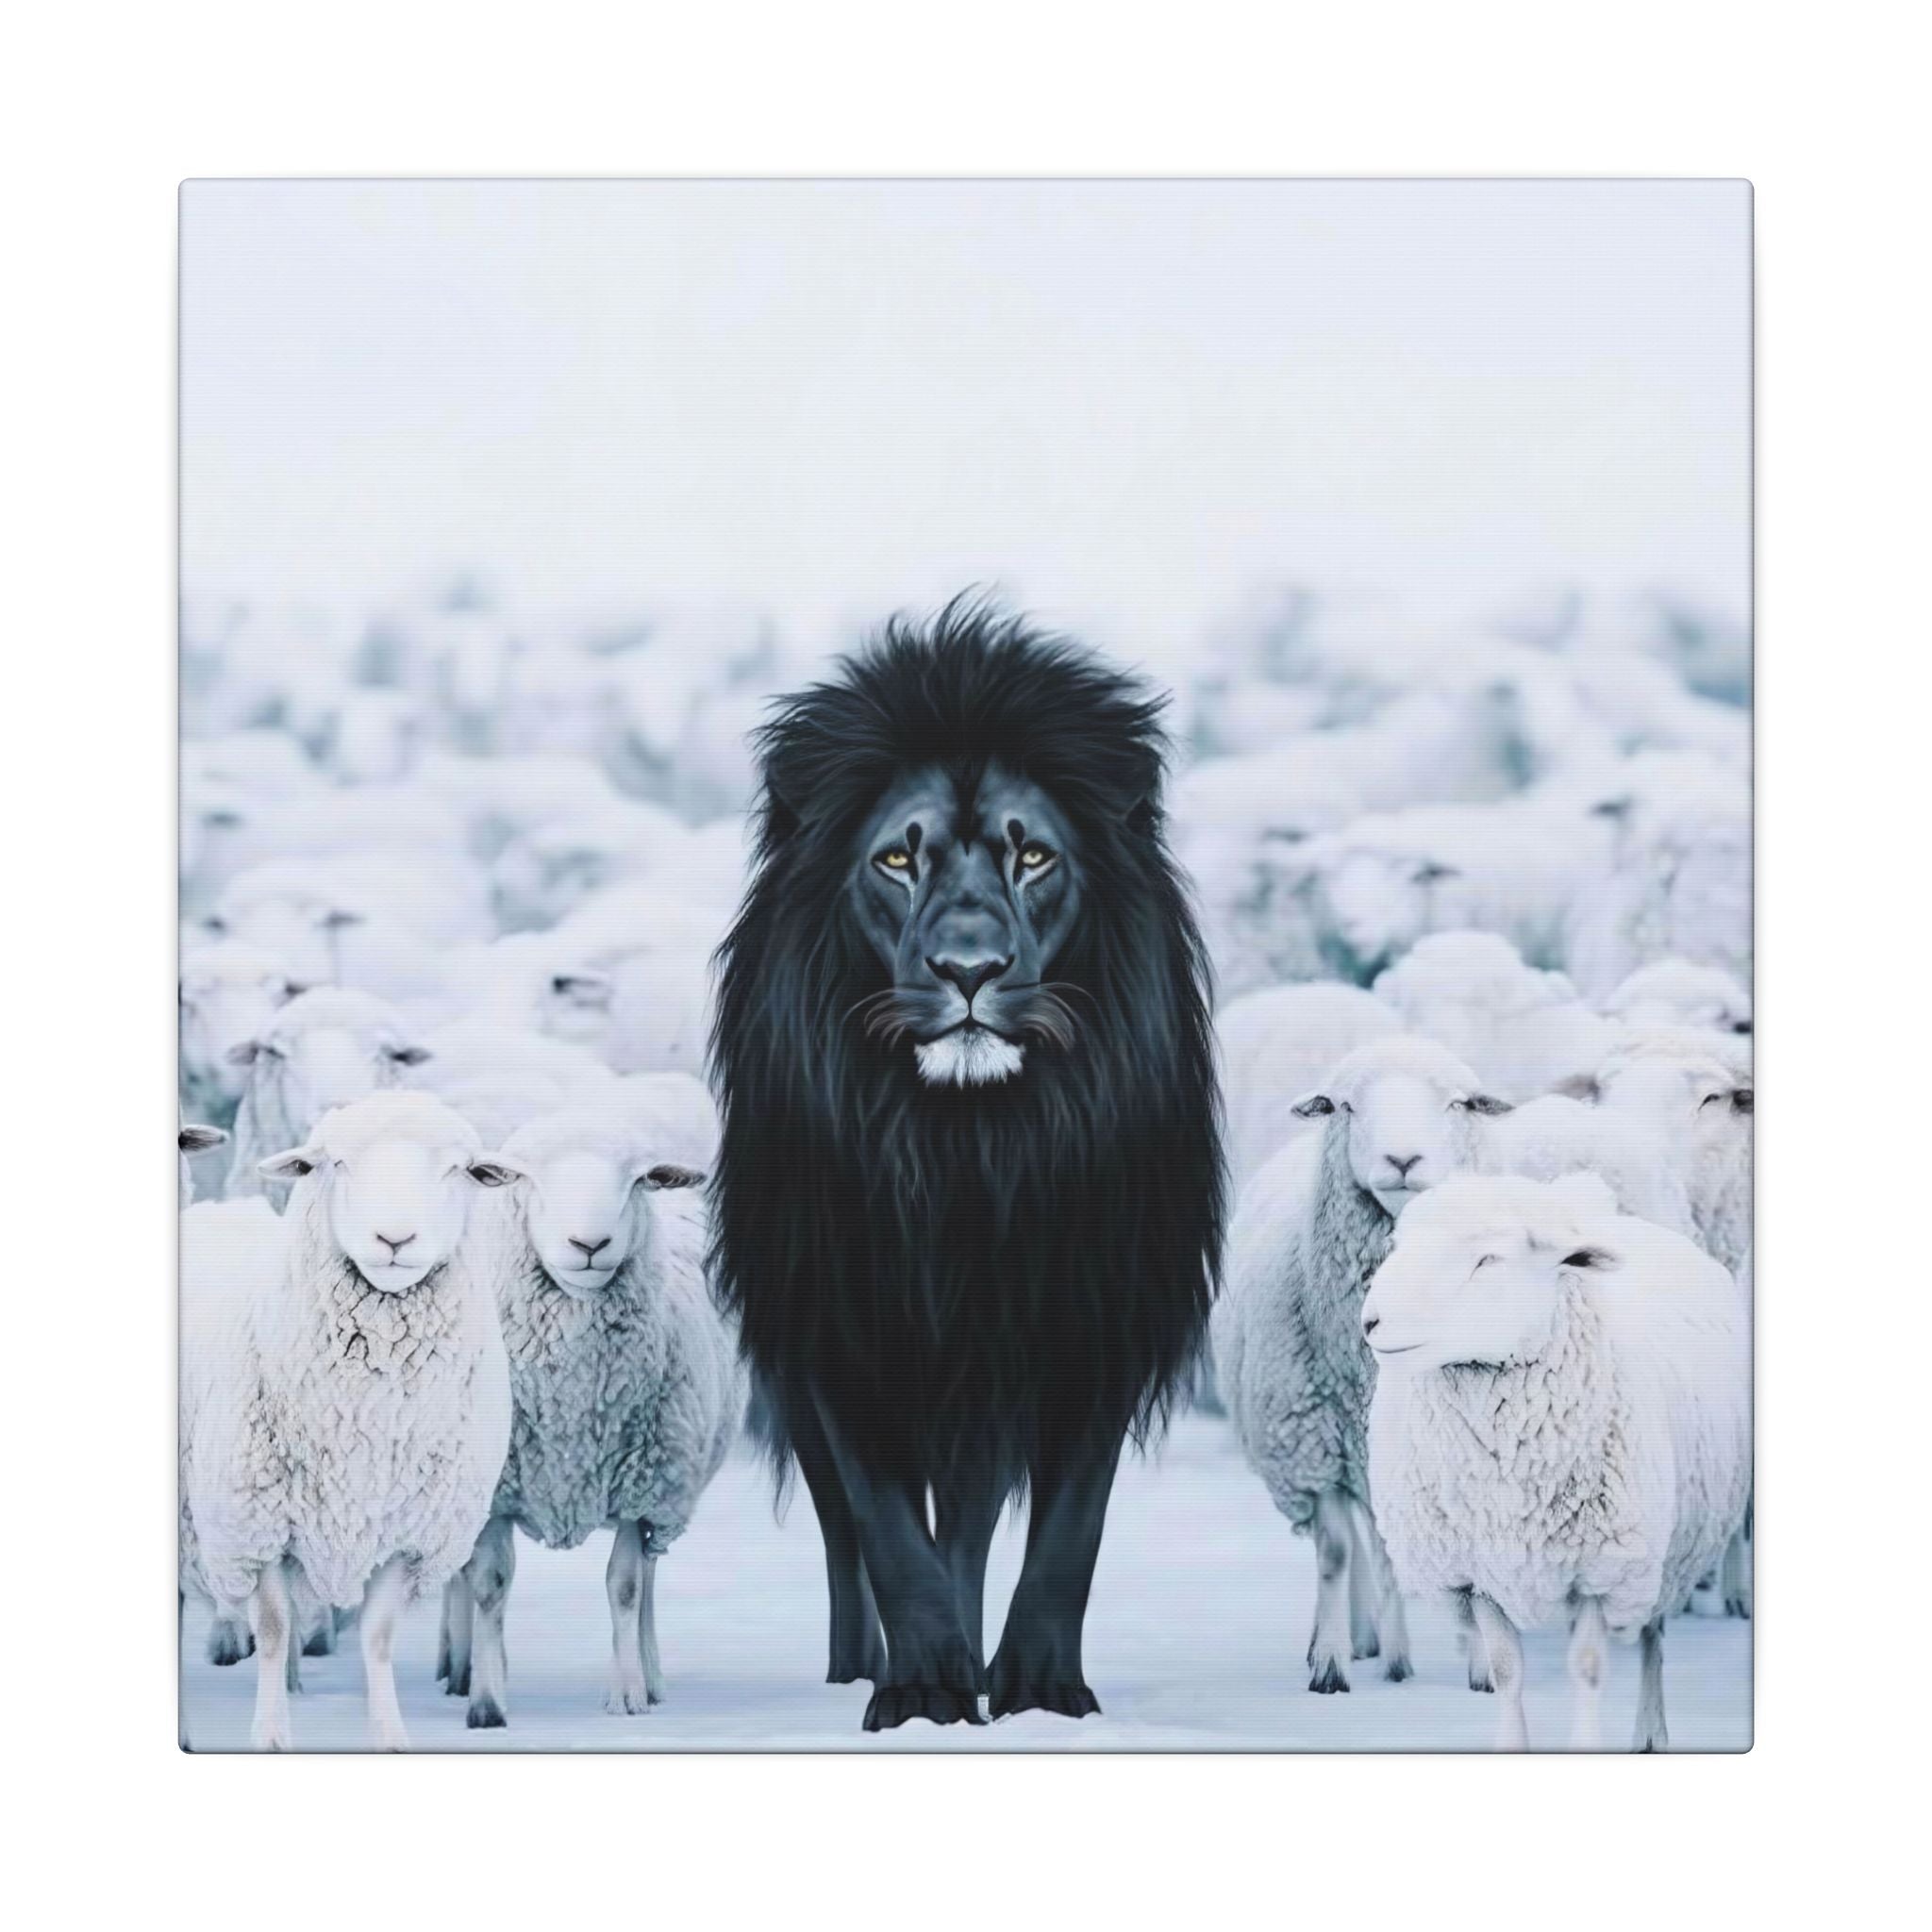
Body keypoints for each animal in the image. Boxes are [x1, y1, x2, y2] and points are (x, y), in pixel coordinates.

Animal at [182, 1092, 517, 1749]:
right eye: (333, 1163)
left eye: (460, 1170)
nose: (395, 1237)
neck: (368, 1417)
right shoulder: (259, 1525)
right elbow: (274, 1626)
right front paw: (270, 1738)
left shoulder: (405, 1533)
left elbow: (377, 1636)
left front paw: (390, 1737)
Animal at [436, 1104, 742, 1726]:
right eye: (526, 1178)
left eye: (639, 1180)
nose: (590, 1243)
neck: (574, 1408)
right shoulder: (494, 1491)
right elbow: (489, 1583)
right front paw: (486, 1701)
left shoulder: (638, 1488)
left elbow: (624, 1586)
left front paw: (626, 1694)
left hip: (665, 1496)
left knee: (648, 1576)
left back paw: (650, 1677)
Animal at [710, 599, 1225, 1729]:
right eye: (897, 862)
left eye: (1032, 859)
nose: (970, 969)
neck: (970, 1151)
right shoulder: (840, 1327)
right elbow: (889, 1535)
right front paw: (919, 1691)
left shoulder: (1091, 1318)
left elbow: (1066, 1534)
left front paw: (1038, 1692)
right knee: (847, 1538)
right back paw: (860, 1666)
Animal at [1212, 1035, 1512, 1692]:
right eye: (1345, 1105)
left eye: (1457, 1103)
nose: (1402, 1158)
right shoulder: (1312, 1445)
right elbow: (1335, 1552)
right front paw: (1329, 1663)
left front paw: (1484, 1669)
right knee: (1357, 1539)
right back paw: (1367, 1641)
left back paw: (1394, 1653)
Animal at [1362, 1174, 1750, 1750]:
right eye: (1398, 1246)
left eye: (1487, 1259)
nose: (1370, 1321)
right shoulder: (1478, 1573)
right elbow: (1506, 1672)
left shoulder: (1600, 1571)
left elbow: (1587, 1668)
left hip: (1662, 1558)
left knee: (1653, 1642)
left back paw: (1650, 1734)